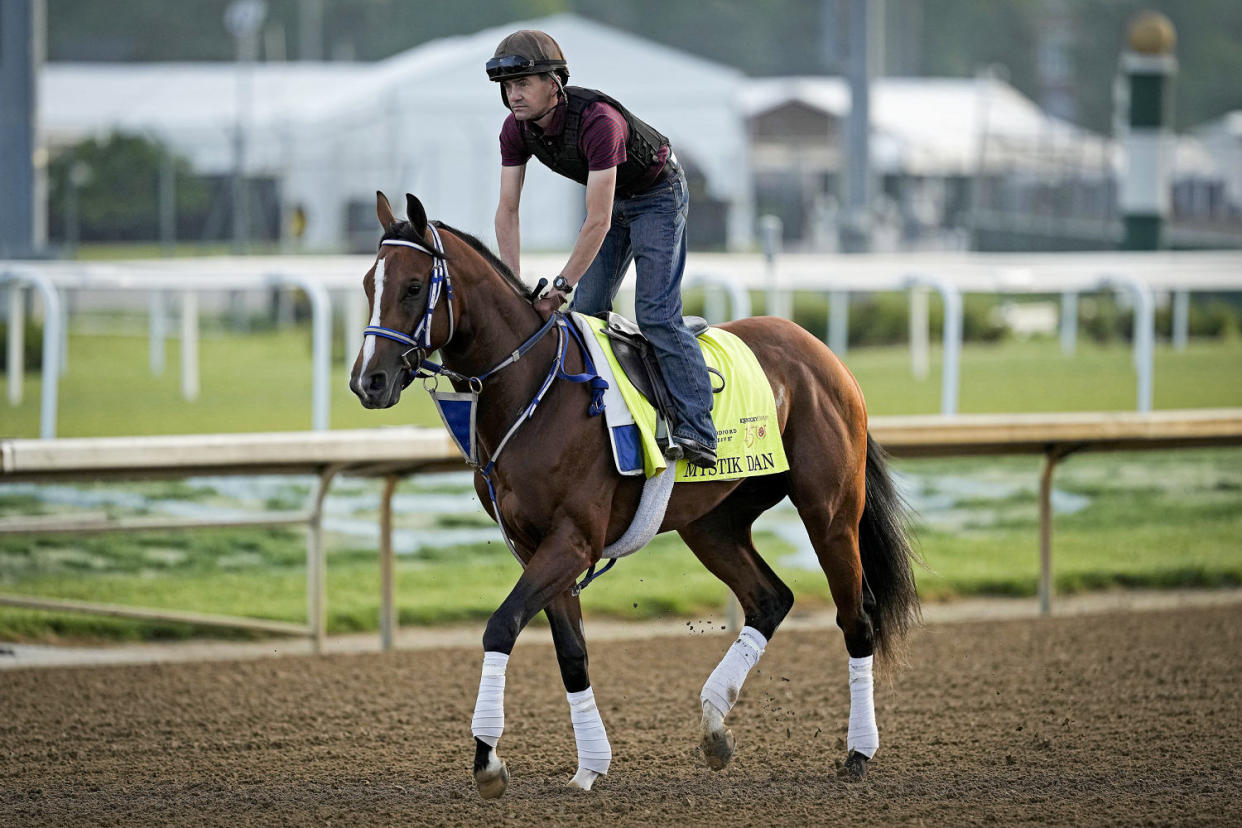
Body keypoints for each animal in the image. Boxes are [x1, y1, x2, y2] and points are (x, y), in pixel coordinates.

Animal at [350, 191, 924, 799]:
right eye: (367, 284)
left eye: (414, 286)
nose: (368, 382)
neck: (534, 390)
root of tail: (824, 354)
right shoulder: (536, 546)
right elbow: (572, 653)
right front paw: (589, 765)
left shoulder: (572, 540)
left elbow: (500, 626)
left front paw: (487, 759)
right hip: (712, 523)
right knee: (771, 598)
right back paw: (714, 726)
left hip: (830, 510)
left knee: (856, 617)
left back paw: (859, 751)